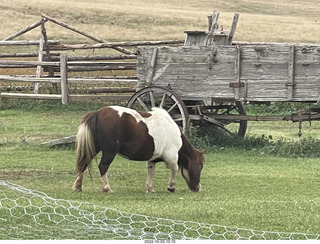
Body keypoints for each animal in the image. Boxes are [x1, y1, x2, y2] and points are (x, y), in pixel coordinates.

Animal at [72, 106, 204, 193]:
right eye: (200, 167)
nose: (198, 188)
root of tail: (97, 113)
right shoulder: (171, 157)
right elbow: (175, 169)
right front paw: (171, 187)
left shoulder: (152, 160)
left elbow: (151, 171)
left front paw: (150, 188)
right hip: (109, 152)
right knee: (103, 166)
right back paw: (107, 188)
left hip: (94, 148)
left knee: (83, 163)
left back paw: (78, 186)